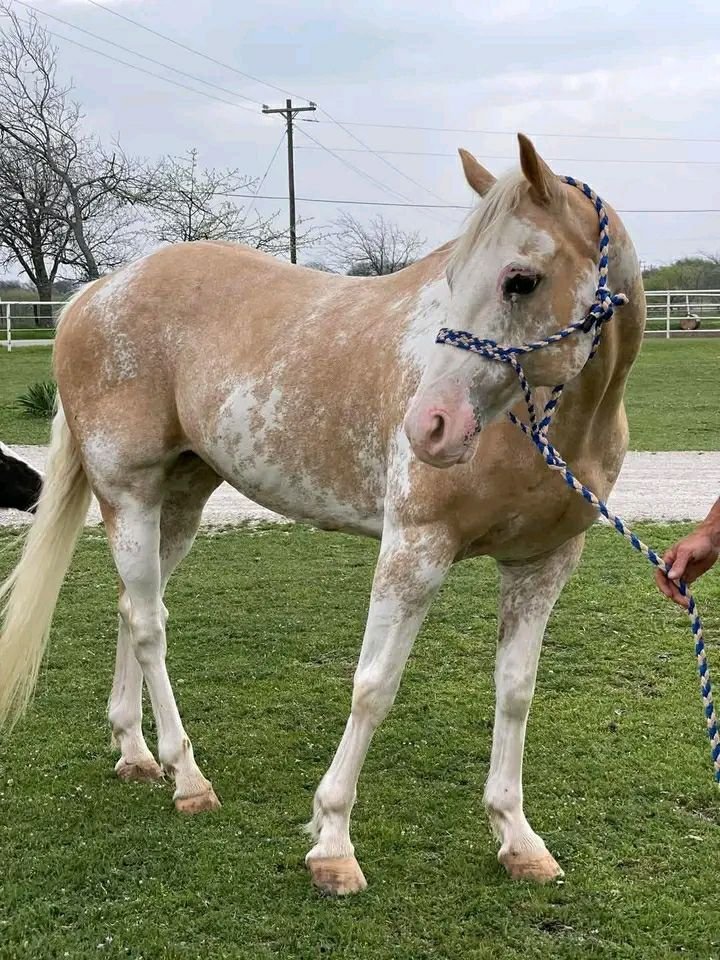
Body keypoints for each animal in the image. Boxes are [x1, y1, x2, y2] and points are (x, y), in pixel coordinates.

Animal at [0, 135, 645, 895]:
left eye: (521, 279)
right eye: (453, 274)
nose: (429, 428)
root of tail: (96, 294)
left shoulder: (542, 564)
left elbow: (515, 693)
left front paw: (517, 838)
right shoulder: (414, 550)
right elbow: (373, 688)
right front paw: (333, 842)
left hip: (179, 502)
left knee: (132, 610)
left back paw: (136, 753)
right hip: (128, 495)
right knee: (152, 626)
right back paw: (188, 777)